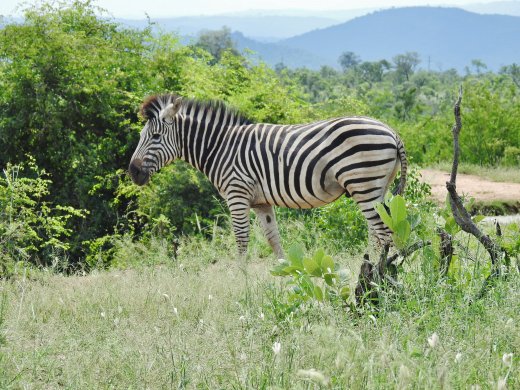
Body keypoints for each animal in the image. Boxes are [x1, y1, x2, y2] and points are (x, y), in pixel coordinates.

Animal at [129, 93, 406, 258]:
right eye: (142, 136)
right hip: (377, 188)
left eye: (155, 136)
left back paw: (380, 279)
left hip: (363, 184)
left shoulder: (237, 194)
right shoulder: (261, 202)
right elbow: (274, 240)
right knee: (380, 231)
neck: (220, 146)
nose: (132, 172)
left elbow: (241, 239)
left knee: (383, 232)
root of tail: (392, 131)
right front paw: (288, 277)